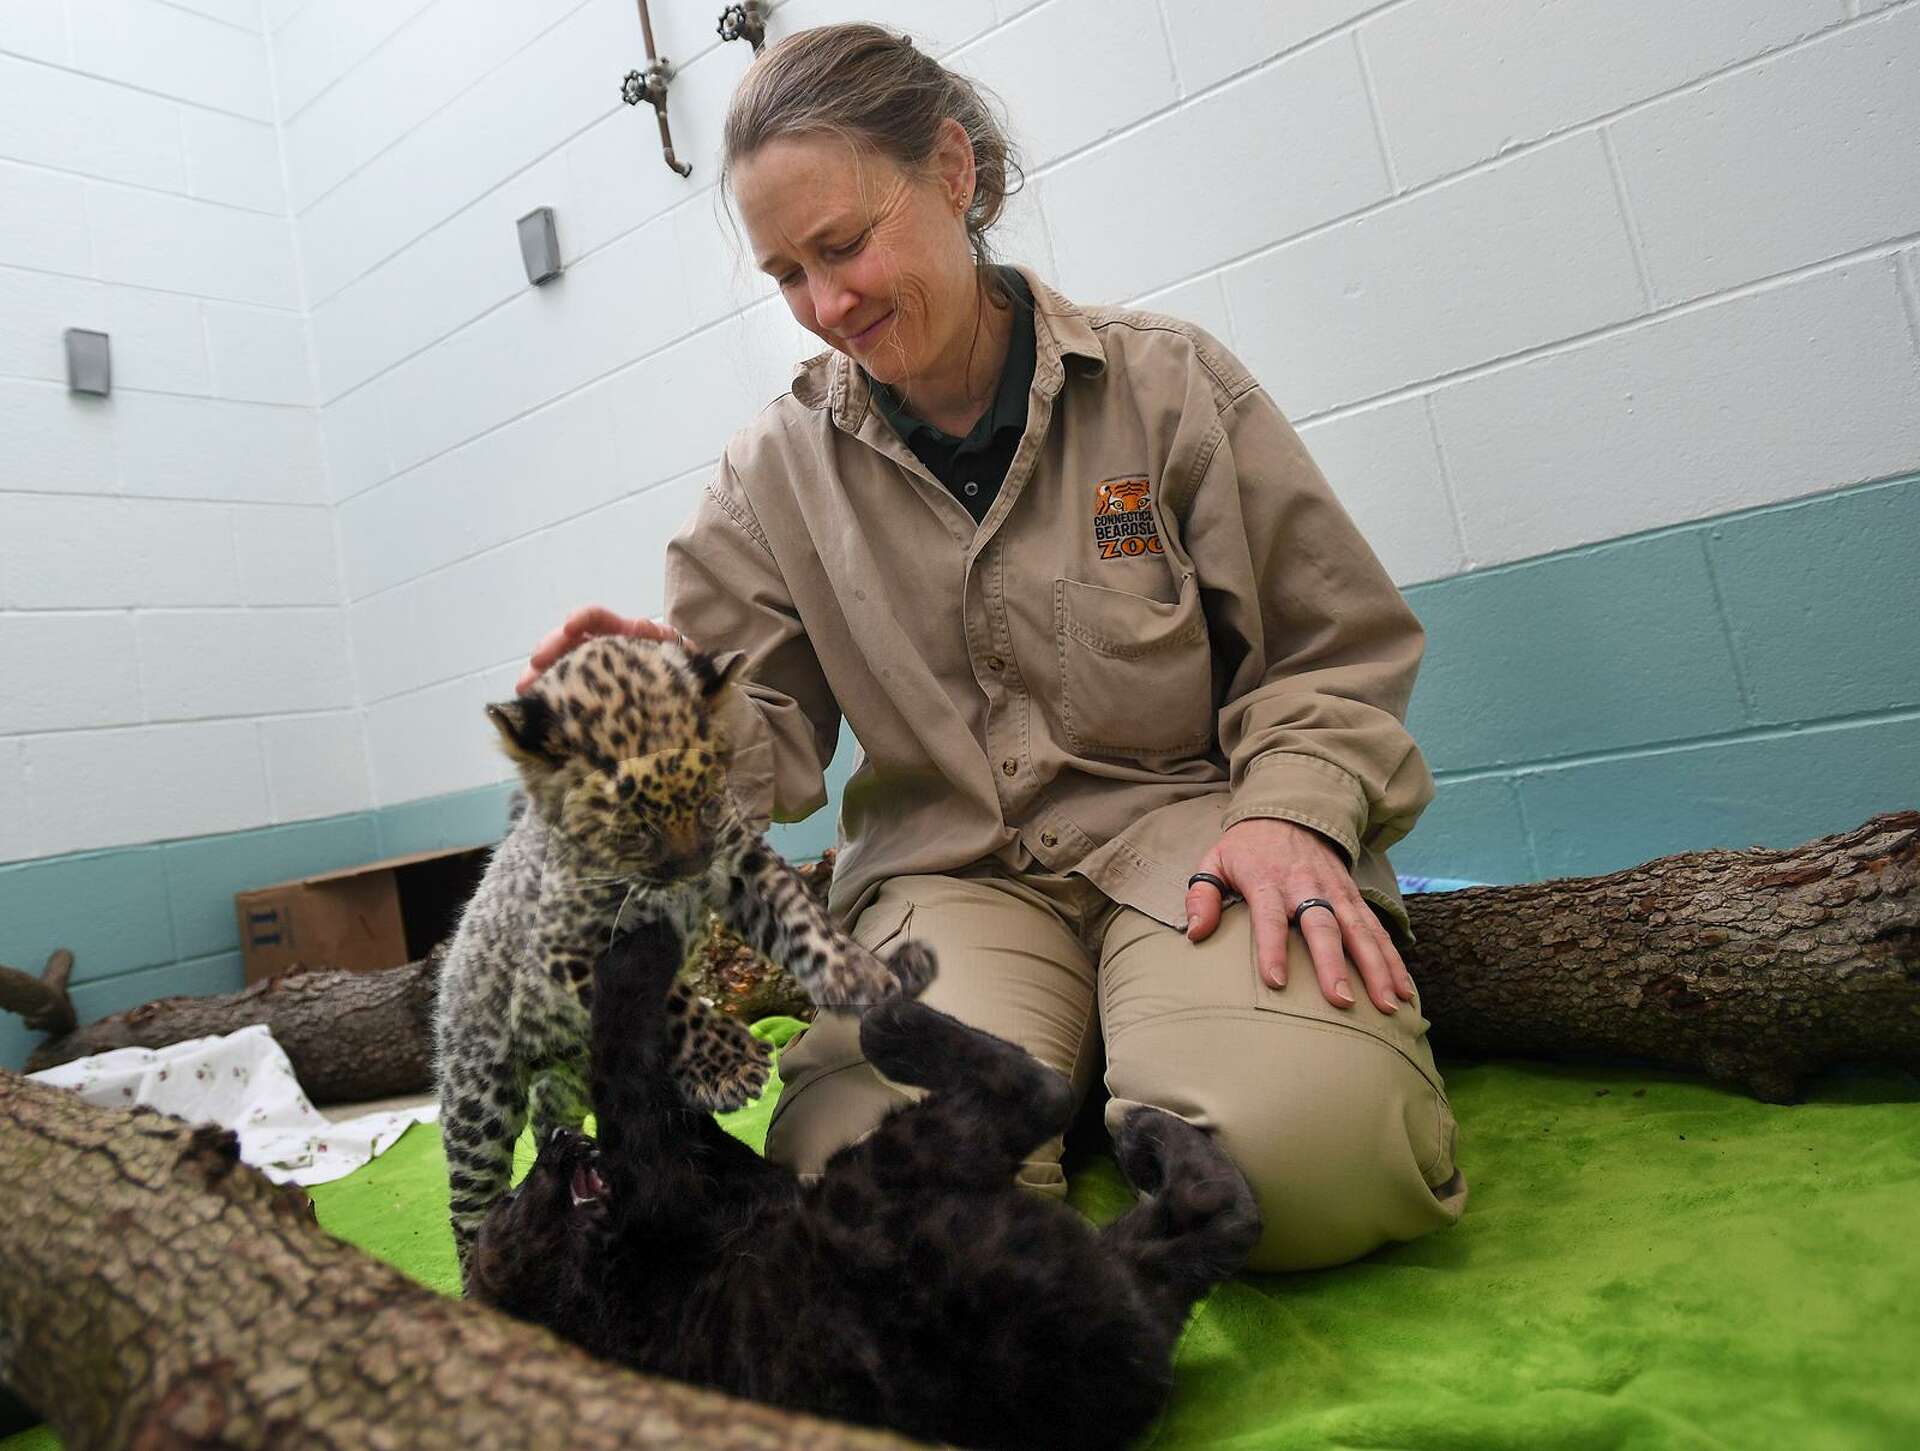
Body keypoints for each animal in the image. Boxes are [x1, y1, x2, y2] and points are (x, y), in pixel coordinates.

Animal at [434, 635, 932, 1283]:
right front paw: (730, 1067)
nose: (694, 868)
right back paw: (486, 1277)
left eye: (704, 795)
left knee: (551, 1110)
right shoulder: (569, 945)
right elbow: (670, 998)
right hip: (479, 1098)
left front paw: (860, 973)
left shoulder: (743, 862)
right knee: (469, 1207)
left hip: (568, 1076)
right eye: (632, 823)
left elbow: (802, 921)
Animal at [470, 914, 1261, 1451]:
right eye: (519, 1200)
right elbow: (622, 1069)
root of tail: (1134, 1350)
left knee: (1217, 1211)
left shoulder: (726, 1181)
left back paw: (1149, 1136)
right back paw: (894, 1018)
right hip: (889, 1170)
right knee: (1040, 1091)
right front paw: (636, 945)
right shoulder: (650, 1187)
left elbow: (686, 1118)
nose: (558, 1142)